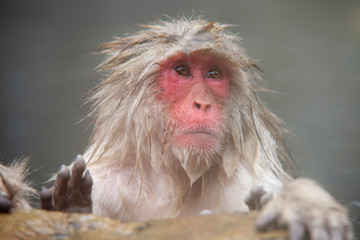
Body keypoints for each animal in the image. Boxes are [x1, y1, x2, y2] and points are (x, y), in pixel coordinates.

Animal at [0, 17, 354, 239]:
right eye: (182, 71)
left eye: (213, 74)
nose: (203, 103)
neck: (179, 175)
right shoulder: (106, 181)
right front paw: (70, 206)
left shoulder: (248, 179)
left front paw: (300, 205)